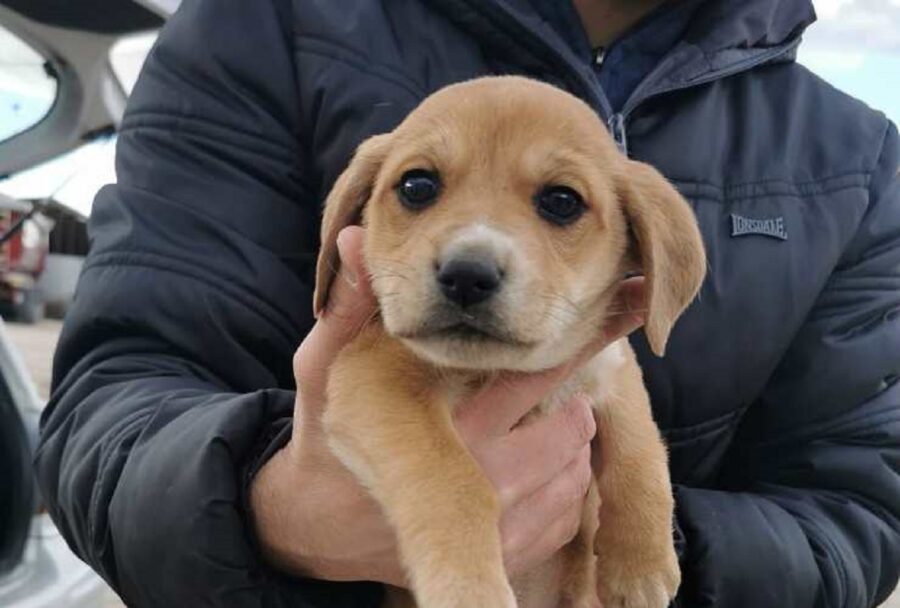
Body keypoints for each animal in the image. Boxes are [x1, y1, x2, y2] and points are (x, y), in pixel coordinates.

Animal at [312, 76, 708, 608]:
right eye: (417, 186)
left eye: (562, 200)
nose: (466, 275)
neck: (496, 370)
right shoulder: (373, 378)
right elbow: (454, 481)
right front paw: (469, 587)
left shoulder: (610, 363)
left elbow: (639, 447)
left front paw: (640, 564)